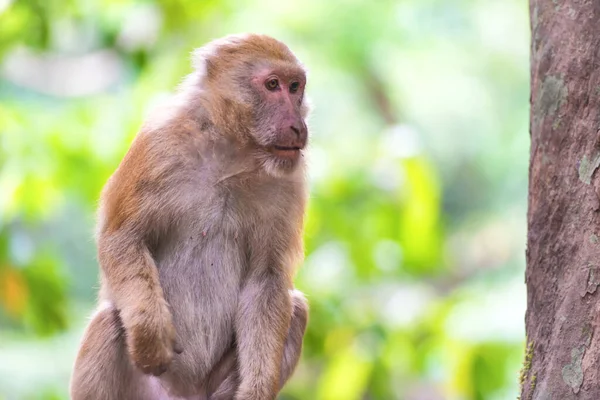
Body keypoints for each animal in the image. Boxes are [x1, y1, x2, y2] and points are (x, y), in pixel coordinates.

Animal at [69, 34, 312, 400]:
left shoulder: (288, 183)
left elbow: (266, 281)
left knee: (296, 310)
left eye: (295, 87)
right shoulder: (158, 143)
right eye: (273, 85)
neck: (231, 153)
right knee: (110, 320)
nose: (297, 125)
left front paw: (255, 390)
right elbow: (123, 236)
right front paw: (150, 334)